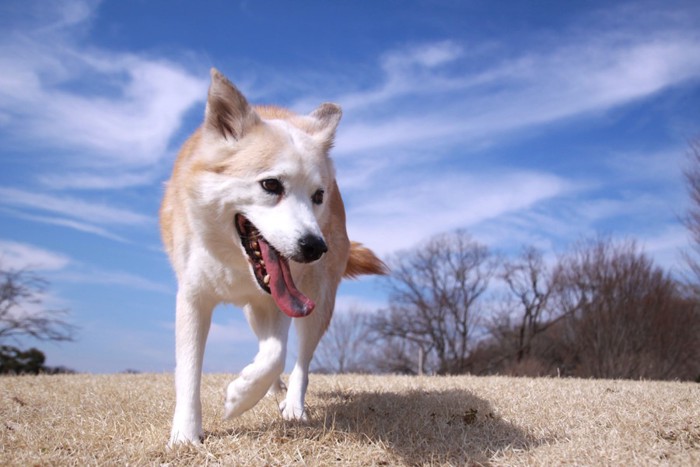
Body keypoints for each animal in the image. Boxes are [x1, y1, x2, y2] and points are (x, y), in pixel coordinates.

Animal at [160, 68, 388, 446]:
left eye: (318, 195)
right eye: (271, 185)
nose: (315, 247)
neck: (236, 266)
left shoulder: (280, 300)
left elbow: (276, 354)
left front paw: (239, 398)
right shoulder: (192, 298)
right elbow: (188, 370)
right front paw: (186, 434)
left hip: (318, 304)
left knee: (301, 363)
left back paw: (292, 404)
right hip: (258, 311)